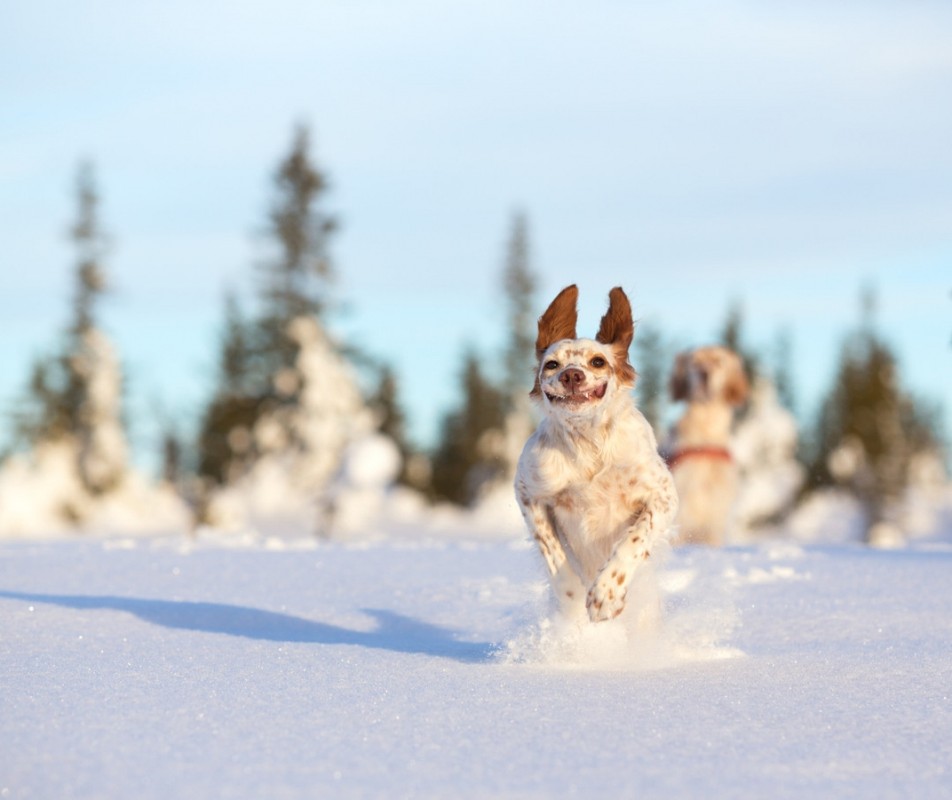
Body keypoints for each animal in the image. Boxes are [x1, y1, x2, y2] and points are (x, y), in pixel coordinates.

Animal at [512, 288, 676, 624]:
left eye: (598, 361)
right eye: (552, 364)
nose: (572, 375)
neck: (587, 442)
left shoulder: (663, 496)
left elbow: (634, 539)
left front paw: (606, 595)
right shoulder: (528, 492)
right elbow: (553, 552)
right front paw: (573, 598)